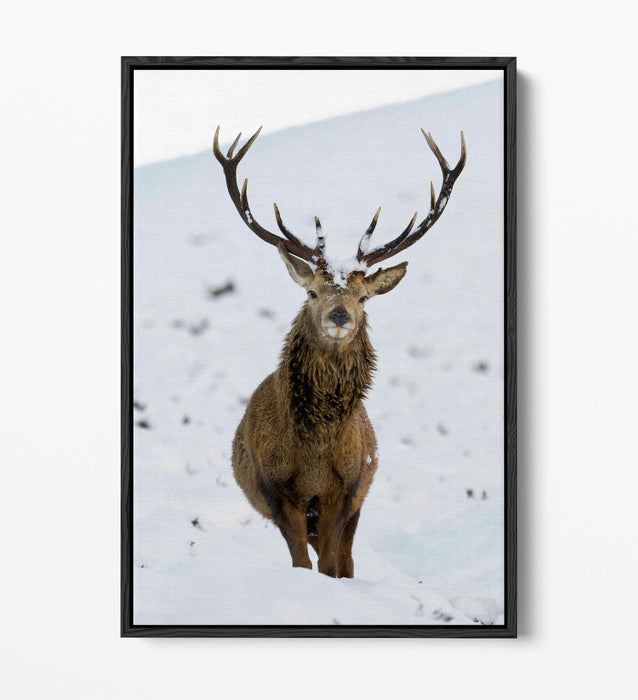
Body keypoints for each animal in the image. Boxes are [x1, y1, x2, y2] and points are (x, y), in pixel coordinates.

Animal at [213, 126, 466, 578]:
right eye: (312, 292)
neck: (314, 451)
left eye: (363, 297)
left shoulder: (345, 491)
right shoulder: (276, 491)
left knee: (347, 558)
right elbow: (301, 562)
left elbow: (332, 563)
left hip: (360, 497)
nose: (339, 315)